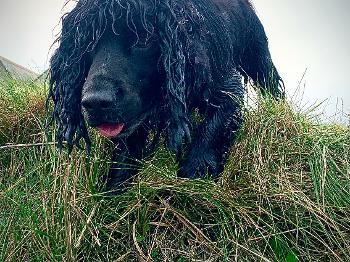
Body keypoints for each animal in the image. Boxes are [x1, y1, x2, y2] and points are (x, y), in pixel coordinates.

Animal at [48, 0, 284, 189]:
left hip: (258, 57)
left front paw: (196, 172)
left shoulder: (226, 86)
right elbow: (127, 150)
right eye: (85, 47)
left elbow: (213, 128)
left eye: (143, 40)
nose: (96, 102)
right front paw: (116, 189)